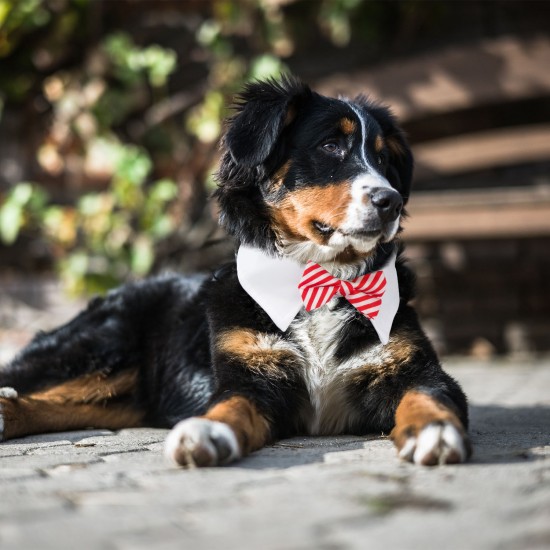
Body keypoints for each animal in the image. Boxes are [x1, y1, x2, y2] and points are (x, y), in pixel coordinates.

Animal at [1, 75, 474, 468]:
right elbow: (230, 406)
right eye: (329, 146)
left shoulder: (411, 367)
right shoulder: (251, 376)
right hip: (102, 348)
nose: (389, 201)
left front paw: (434, 432)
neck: (319, 280)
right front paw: (206, 432)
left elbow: (427, 395)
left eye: (383, 159)